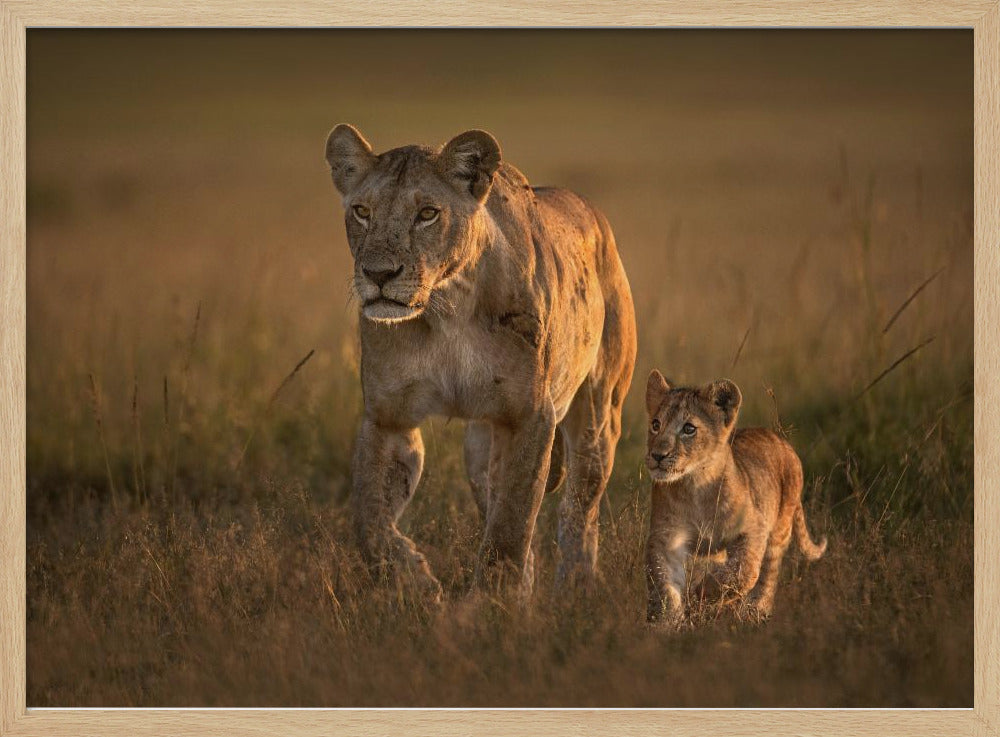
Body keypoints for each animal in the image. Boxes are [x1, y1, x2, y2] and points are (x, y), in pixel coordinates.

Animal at [324, 124, 637, 600]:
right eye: (361, 211)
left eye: (428, 214)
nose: (378, 274)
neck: (446, 308)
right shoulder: (388, 418)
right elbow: (370, 522)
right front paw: (416, 582)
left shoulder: (530, 416)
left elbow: (510, 527)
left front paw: (493, 605)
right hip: (479, 446)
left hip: (599, 415)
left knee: (579, 509)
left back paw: (575, 590)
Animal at [643, 371, 827, 624]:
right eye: (655, 424)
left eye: (689, 429)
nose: (658, 456)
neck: (695, 486)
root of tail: (782, 441)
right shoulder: (666, 537)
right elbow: (664, 584)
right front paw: (666, 622)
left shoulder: (754, 527)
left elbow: (744, 571)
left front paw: (703, 592)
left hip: (779, 530)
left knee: (767, 576)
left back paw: (754, 612)